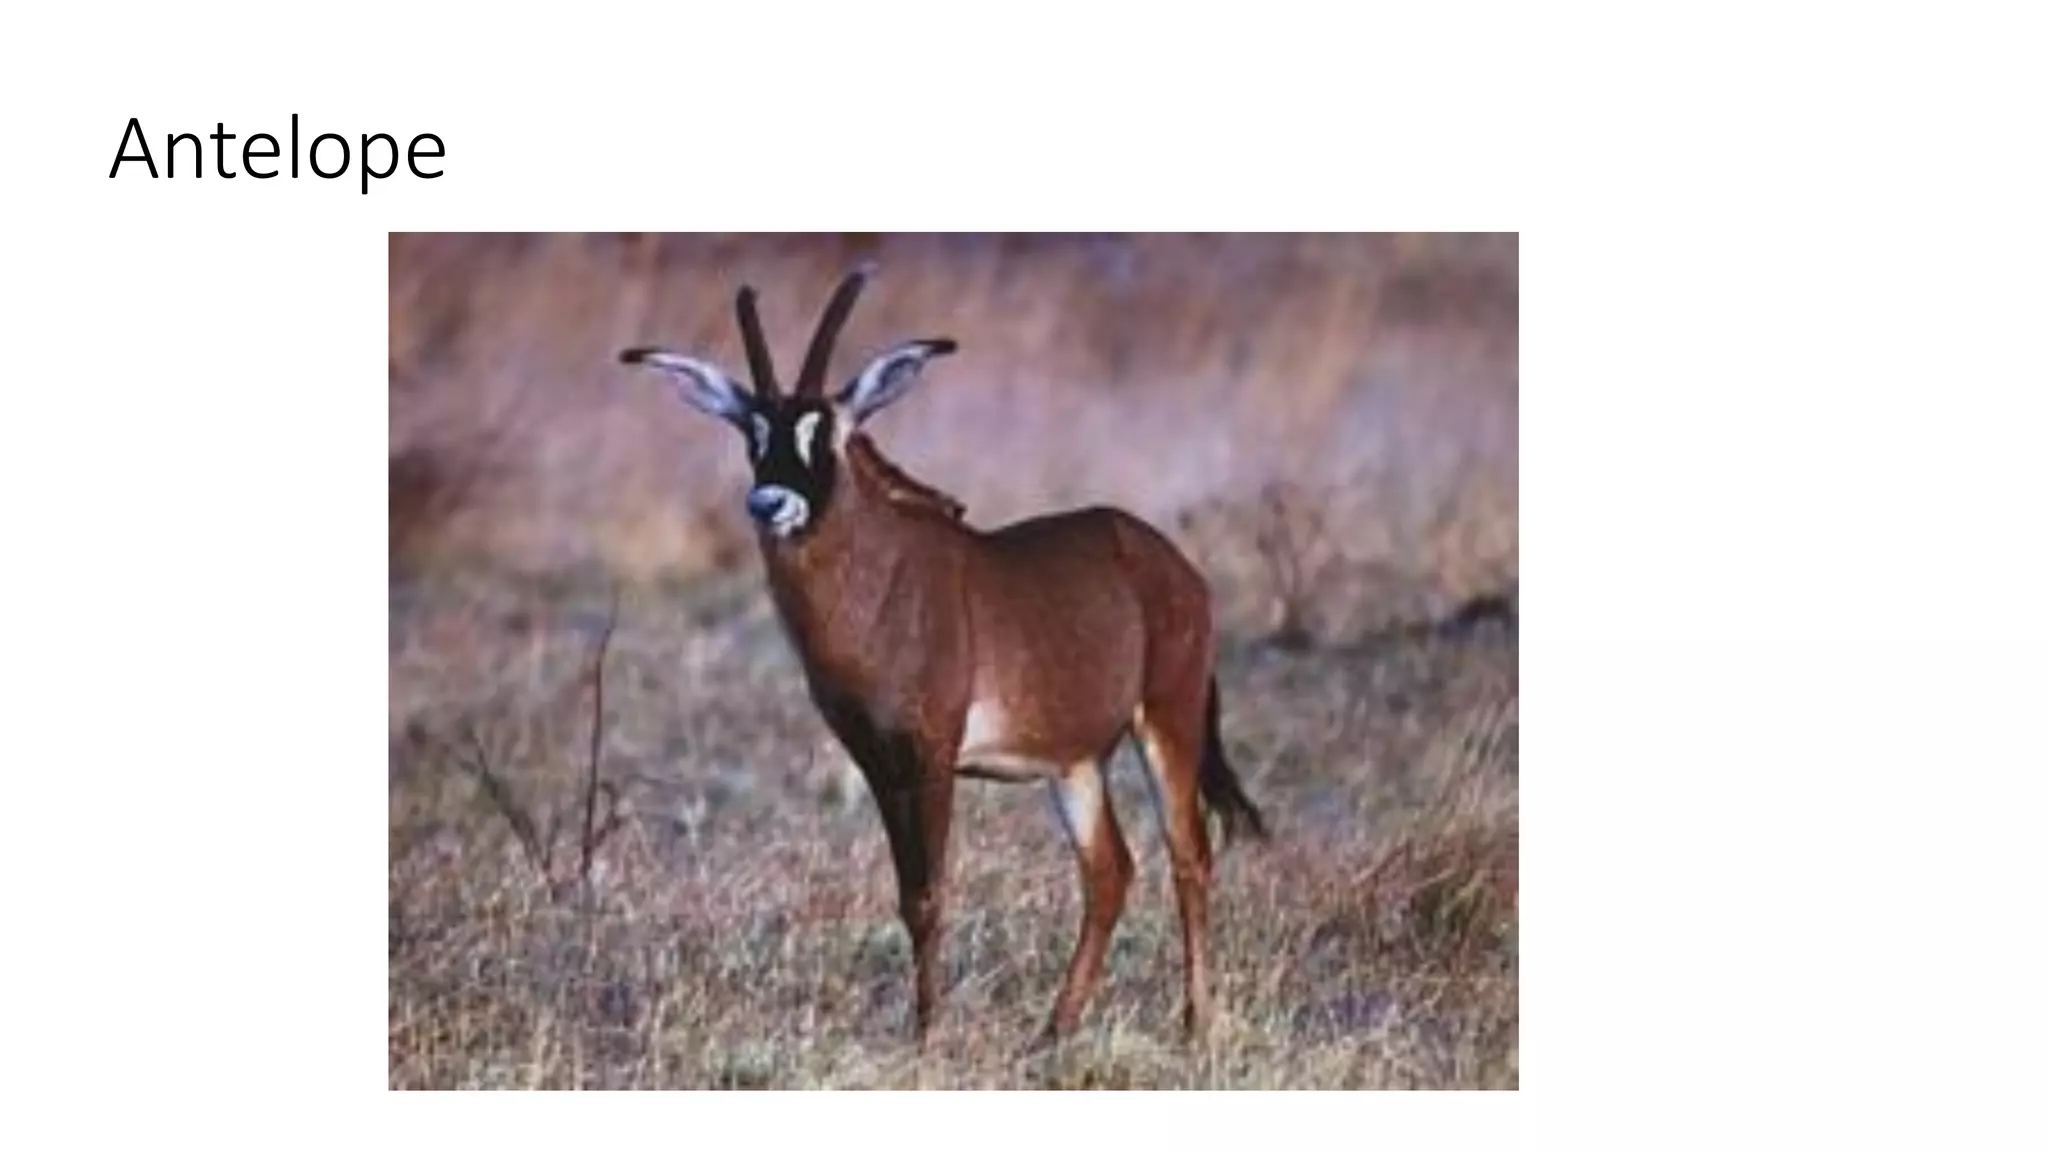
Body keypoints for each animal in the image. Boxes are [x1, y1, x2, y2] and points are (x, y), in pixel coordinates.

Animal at [619, 264, 1268, 1046]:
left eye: (824, 433)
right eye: (753, 432)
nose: (769, 503)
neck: (879, 581)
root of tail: (1171, 564)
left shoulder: (931, 755)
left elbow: (930, 892)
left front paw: (928, 1034)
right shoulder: (877, 760)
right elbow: (908, 894)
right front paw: (926, 1025)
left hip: (1166, 723)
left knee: (1189, 854)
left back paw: (1195, 1025)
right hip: (1076, 763)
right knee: (1109, 870)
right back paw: (1053, 1030)